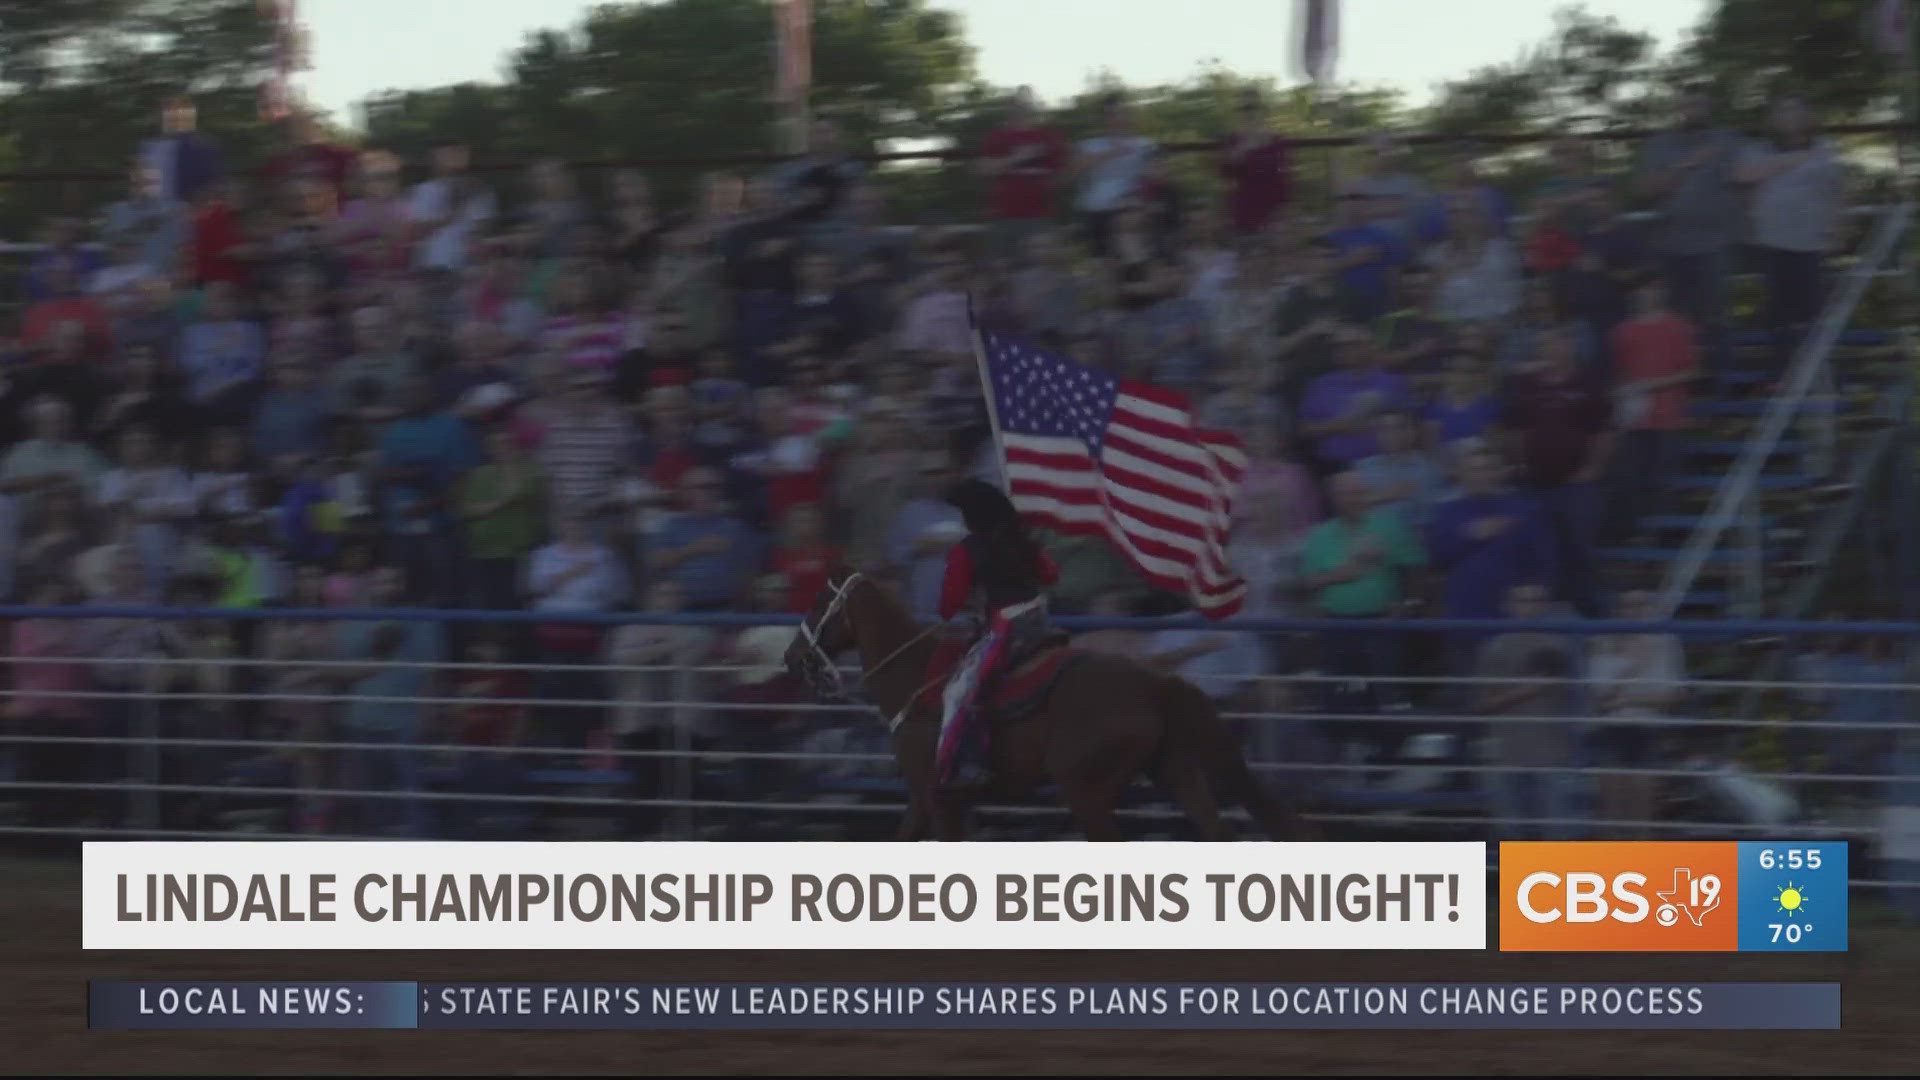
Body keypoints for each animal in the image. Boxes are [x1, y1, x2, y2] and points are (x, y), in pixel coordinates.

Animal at [775, 564, 1305, 841]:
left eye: (819, 603)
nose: (792, 656)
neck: (917, 679)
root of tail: (1155, 684)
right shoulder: (930, 802)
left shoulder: (935, 797)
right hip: (1175, 771)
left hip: (1087, 789)